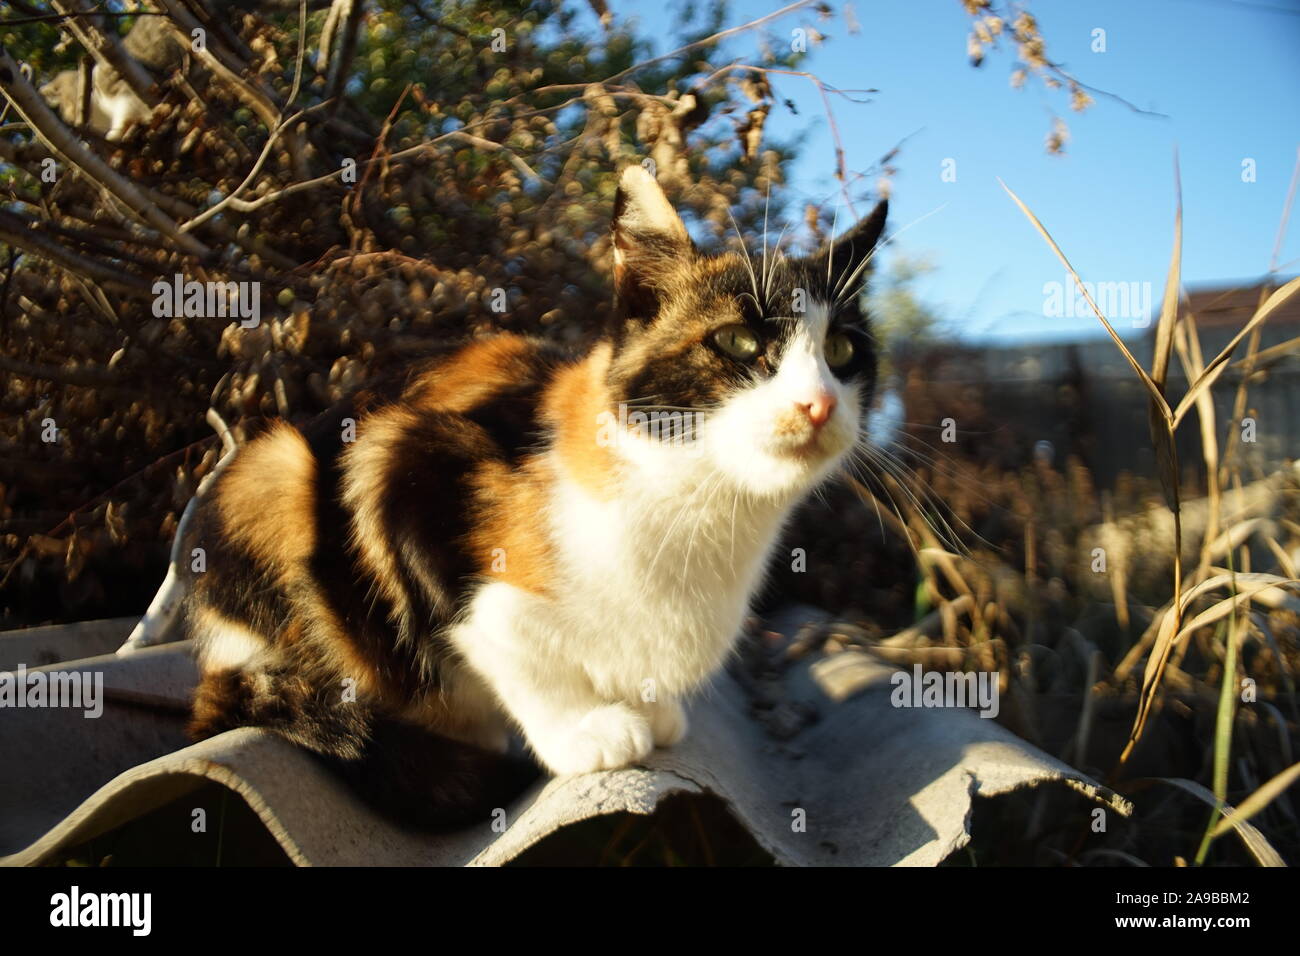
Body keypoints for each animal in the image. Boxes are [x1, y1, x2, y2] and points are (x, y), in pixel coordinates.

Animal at [185, 167, 883, 827]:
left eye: (842, 349)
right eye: (738, 342)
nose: (819, 404)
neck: (696, 497)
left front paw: (650, 708)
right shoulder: (406, 459)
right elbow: (501, 638)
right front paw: (583, 729)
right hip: (276, 469)